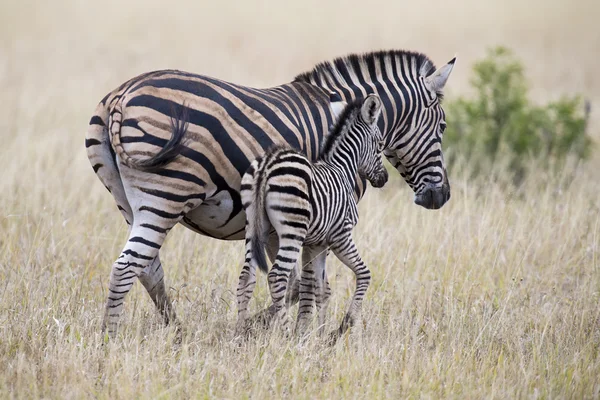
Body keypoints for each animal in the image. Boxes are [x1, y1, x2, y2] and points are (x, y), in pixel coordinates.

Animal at [237, 94, 386, 338]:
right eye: (381, 145)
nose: (384, 179)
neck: (342, 169)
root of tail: (268, 162)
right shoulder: (340, 236)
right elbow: (364, 273)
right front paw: (343, 326)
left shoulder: (317, 244)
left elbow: (322, 289)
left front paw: (321, 335)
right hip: (292, 231)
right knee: (277, 277)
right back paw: (286, 335)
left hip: (253, 226)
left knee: (246, 276)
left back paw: (238, 331)